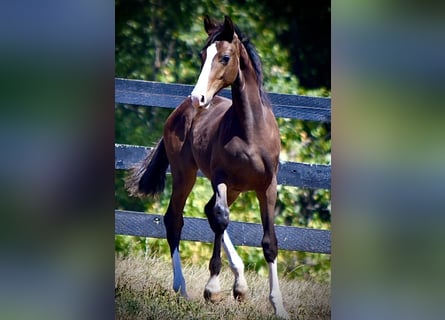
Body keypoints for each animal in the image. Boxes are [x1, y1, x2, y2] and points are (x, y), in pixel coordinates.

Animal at [125, 14, 288, 318]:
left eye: (225, 57)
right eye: (203, 56)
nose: (198, 98)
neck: (250, 131)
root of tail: (179, 111)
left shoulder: (267, 186)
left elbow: (269, 243)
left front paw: (278, 306)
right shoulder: (220, 178)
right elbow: (221, 218)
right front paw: (212, 290)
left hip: (235, 188)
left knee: (207, 211)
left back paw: (240, 285)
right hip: (185, 174)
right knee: (176, 219)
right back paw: (183, 288)